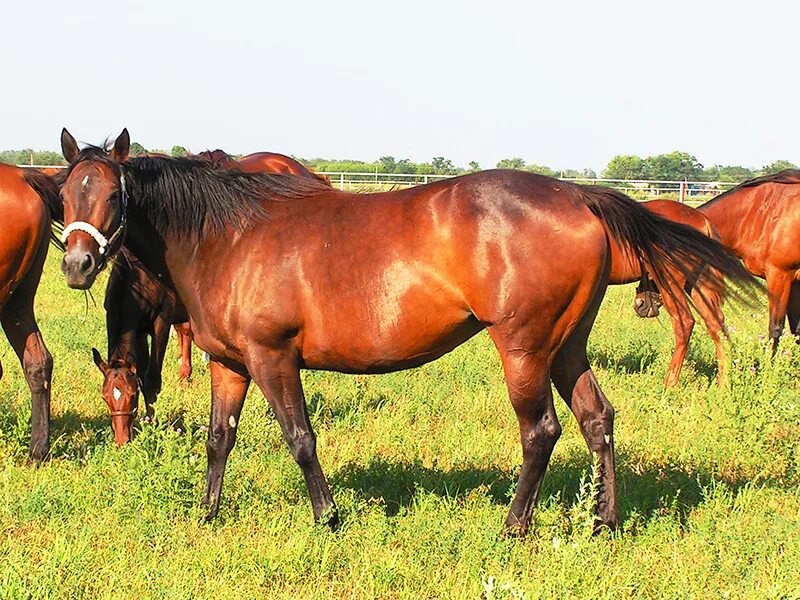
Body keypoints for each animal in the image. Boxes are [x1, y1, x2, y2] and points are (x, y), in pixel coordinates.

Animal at [608, 199, 728, 386]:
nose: (640, 304)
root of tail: (703, 220)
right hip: (697, 287)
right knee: (715, 323)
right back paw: (723, 383)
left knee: (684, 323)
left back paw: (669, 383)